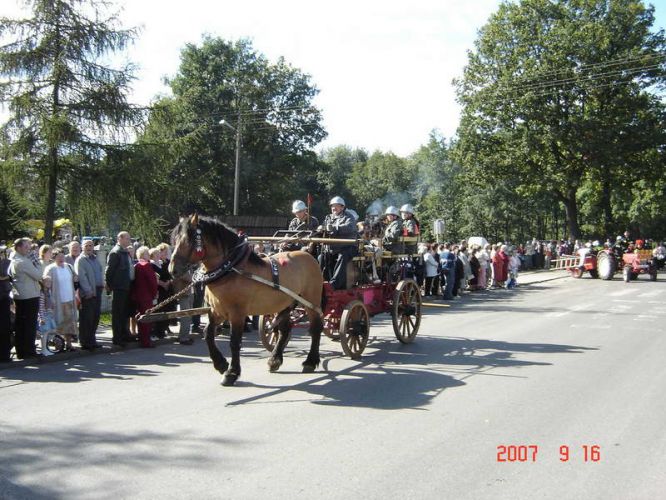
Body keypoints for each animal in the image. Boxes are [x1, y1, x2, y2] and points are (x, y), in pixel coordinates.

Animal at [170, 215, 322, 386]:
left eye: (188, 241)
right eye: (175, 240)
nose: (173, 269)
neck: (229, 270)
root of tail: (308, 255)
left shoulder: (237, 314)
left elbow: (235, 342)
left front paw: (231, 373)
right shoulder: (217, 311)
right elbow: (208, 334)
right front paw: (220, 364)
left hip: (311, 302)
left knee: (316, 328)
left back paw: (310, 361)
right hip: (284, 303)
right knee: (284, 329)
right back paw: (275, 360)